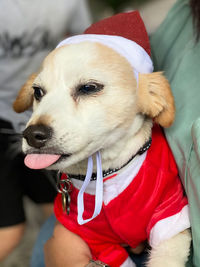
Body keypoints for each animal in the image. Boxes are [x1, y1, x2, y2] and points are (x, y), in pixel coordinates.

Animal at [13, 11, 191, 266]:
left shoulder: (170, 214)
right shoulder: (95, 239)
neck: (106, 175)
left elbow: (165, 258)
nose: (32, 135)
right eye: (38, 92)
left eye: (88, 88)